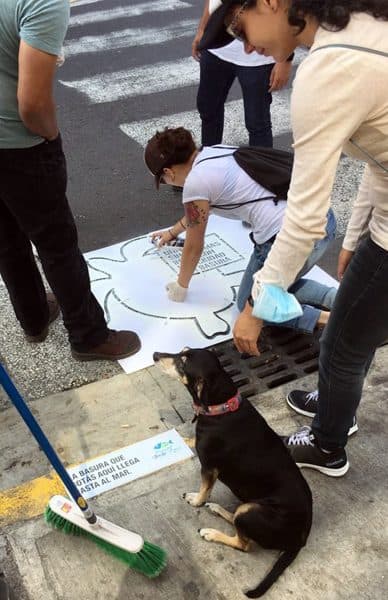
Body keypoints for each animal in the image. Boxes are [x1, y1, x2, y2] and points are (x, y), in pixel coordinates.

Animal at [153, 350, 314, 596]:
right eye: (183, 351)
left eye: (183, 362)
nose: (154, 354)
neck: (222, 407)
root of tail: (301, 538)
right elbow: (187, 440)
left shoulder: (209, 466)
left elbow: (204, 489)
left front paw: (196, 500)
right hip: (246, 508)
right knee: (236, 519)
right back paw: (219, 510)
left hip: (251, 512)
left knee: (243, 543)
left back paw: (211, 533)